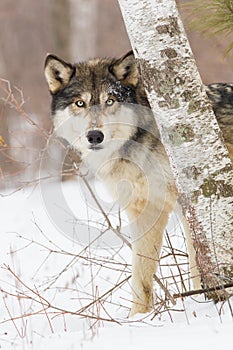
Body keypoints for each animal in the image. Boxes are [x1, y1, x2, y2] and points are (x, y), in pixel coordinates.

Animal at [44, 52, 233, 318]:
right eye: (80, 103)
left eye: (110, 100)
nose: (94, 136)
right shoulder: (145, 210)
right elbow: (141, 275)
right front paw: (138, 319)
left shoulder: (186, 207)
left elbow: (196, 266)